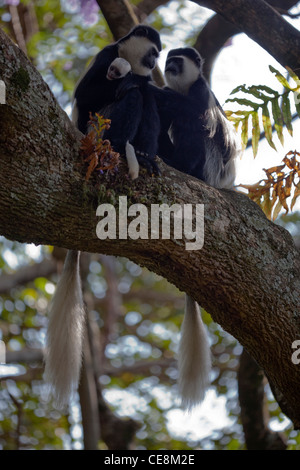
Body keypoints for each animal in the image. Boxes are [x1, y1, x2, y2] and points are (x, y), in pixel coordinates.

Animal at [44, 26, 162, 408]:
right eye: (153, 51)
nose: (153, 62)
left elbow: (147, 94)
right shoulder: (106, 57)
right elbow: (92, 92)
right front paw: (129, 81)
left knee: (146, 103)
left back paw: (144, 155)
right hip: (98, 129)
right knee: (131, 99)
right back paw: (122, 143)